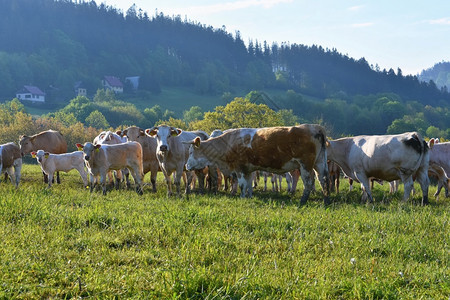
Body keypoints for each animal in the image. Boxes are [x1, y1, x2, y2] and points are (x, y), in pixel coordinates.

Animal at [185, 123, 328, 205]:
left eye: (191, 151)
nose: (186, 166)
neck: (229, 141)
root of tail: (316, 128)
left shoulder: (240, 167)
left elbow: (242, 185)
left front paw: (242, 198)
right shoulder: (248, 169)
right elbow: (248, 184)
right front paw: (248, 197)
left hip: (305, 165)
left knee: (309, 182)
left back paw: (303, 201)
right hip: (320, 163)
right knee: (323, 180)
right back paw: (327, 199)